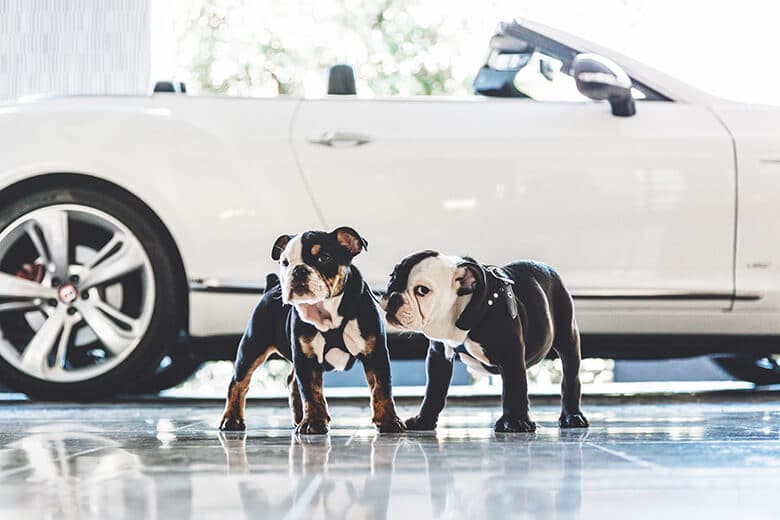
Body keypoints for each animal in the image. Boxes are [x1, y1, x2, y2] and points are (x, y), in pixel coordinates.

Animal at [218, 228, 406, 434]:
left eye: (325, 257)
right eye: (285, 262)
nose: (298, 269)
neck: (326, 313)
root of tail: (270, 286)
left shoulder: (375, 354)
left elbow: (381, 389)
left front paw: (388, 421)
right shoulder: (306, 358)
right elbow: (311, 392)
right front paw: (314, 422)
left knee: (292, 381)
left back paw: (298, 418)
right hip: (252, 346)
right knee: (239, 382)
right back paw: (233, 419)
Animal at [380, 252, 588, 434]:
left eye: (422, 290)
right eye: (392, 277)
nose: (393, 298)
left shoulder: (510, 352)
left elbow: (515, 387)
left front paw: (515, 422)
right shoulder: (439, 356)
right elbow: (433, 391)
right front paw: (424, 421)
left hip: (567, 337)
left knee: (570, 377)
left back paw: (572, 417)